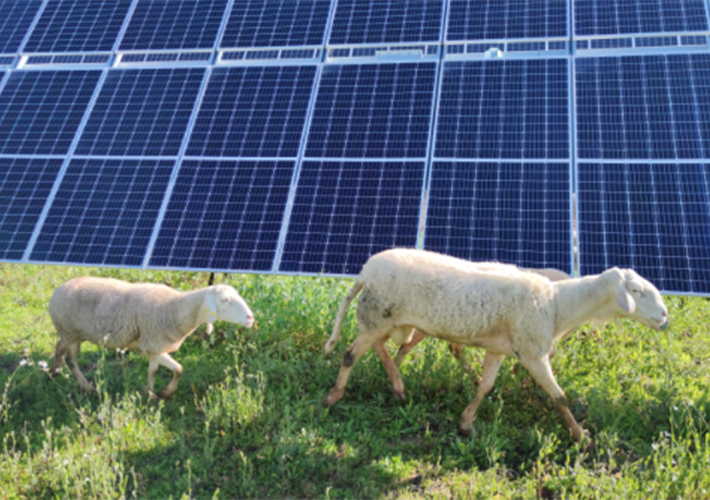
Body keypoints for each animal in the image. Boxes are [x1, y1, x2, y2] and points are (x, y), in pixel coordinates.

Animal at [47, 278, 254, 398]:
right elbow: (179, 368)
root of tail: (57, 290)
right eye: (224, 300)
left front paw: (152, 394)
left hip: (72, 334)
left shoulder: (155, 348)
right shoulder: (152, 344)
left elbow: (159, 371)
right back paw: (83, 385)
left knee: (61, 350)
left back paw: (56, 372)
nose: (251, 317)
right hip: (69, 331)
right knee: (69, 358)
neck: (176, 309)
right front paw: (165, 392)